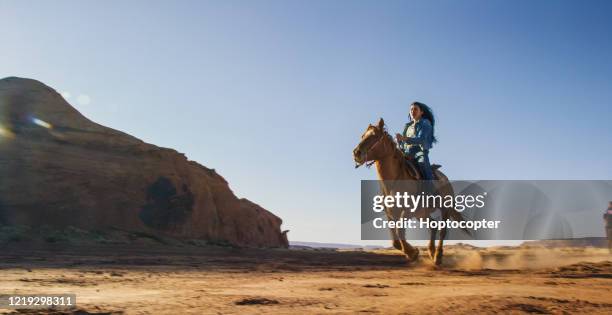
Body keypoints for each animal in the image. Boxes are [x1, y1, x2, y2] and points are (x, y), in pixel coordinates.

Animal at [352, 117, 466, 266]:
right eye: (362, 136)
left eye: (374, 136)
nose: (356, 153)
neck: (394, 181)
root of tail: (444, 178)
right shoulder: (390, 213)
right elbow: (395, 240)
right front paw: (412, 252)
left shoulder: (407, 210)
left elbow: (400, 231)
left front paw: (413, 253)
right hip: (421, 214)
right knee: (433, 226)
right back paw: (431, 252)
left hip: (444, 209)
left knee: (442, 230)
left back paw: (438, 256)